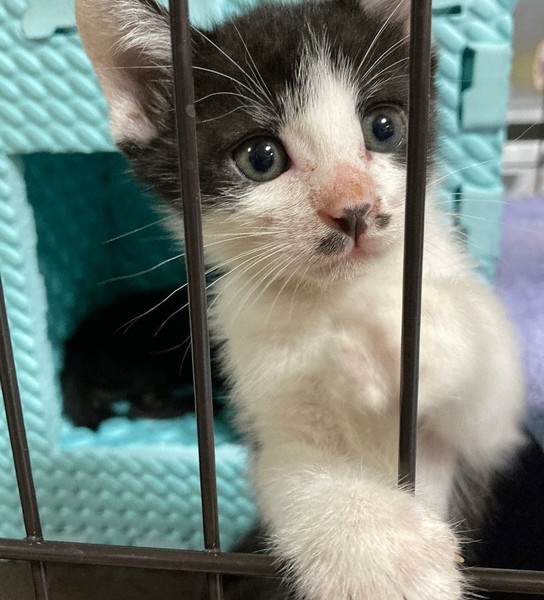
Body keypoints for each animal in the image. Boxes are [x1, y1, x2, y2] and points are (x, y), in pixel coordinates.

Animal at [75, 0, 527, 598]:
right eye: (260, 158)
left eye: (383, 127)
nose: (354, 209)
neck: (331, 299)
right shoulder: (266, 399)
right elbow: (292, 474)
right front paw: (382, 555)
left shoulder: (487, 443)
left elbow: (491, 399)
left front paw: (402, 334)